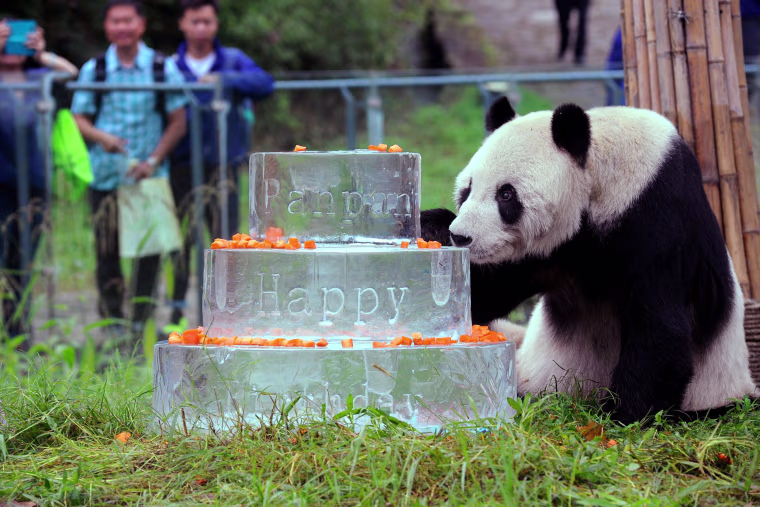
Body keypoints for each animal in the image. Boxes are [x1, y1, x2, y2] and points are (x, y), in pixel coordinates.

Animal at [421, 96, 759, 424]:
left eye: (506, 195)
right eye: (467, 190)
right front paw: (431, 229)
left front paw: (622, 415)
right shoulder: (549, 251)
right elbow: (486, 295)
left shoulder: (658, 219)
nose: (462, 237)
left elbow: (660, 326)